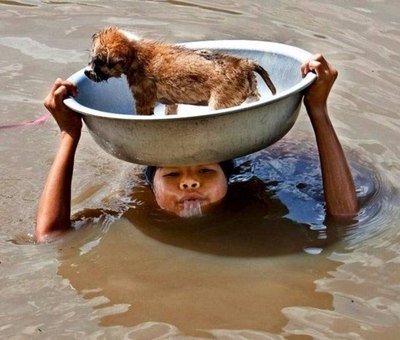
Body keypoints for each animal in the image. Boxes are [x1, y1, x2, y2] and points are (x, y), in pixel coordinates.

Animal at [85, 26, 276, 114]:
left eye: (98, 62)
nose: (87, 72)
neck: (134, 52)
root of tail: (243, 63)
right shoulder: (171, 103)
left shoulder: (143, 102)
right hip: (251, 91)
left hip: (219, 103)